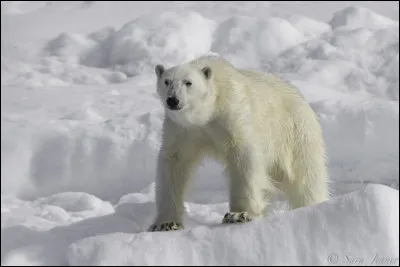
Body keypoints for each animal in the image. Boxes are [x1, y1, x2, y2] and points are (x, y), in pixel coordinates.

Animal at [147, 55, 328, 232]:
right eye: (167, 81)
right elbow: (174, 163)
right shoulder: (182, 129)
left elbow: (243, 158)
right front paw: (165, 223)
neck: (209, 111)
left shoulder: (232, 114)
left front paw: (238, 215)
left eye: (188, 82)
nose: (173, 100)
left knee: (306, 179)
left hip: (295, 135)